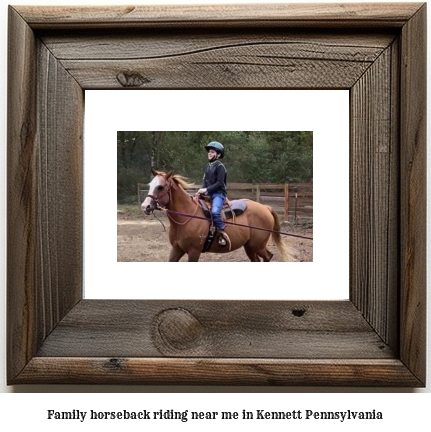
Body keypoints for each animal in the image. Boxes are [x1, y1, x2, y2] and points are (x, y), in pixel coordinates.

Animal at [140, 170, 292, 264]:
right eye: (150, 185)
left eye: (160, 187)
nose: (145, 206)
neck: (186, 216)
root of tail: (266, 208)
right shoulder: (177, 249)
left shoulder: (194, 251)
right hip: (249, 246)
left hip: (258, 245)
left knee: (268, 257)